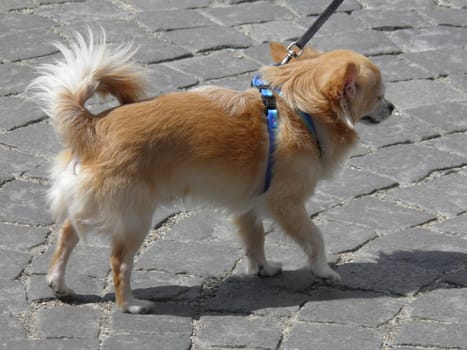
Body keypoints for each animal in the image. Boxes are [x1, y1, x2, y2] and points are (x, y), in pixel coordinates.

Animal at [28, 30, 394, 314]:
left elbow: (254, 238)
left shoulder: (249, 204)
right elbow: (314, 237)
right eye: (379, 96)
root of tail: (92, 126)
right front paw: (323, 270)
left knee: (67, 234)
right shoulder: (287, 204)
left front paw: (262, 268)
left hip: (94, 208)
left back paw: (59, 284)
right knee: (119, 261)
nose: (393, 107)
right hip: (135, 219)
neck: (299, 110)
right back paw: (129, 304)